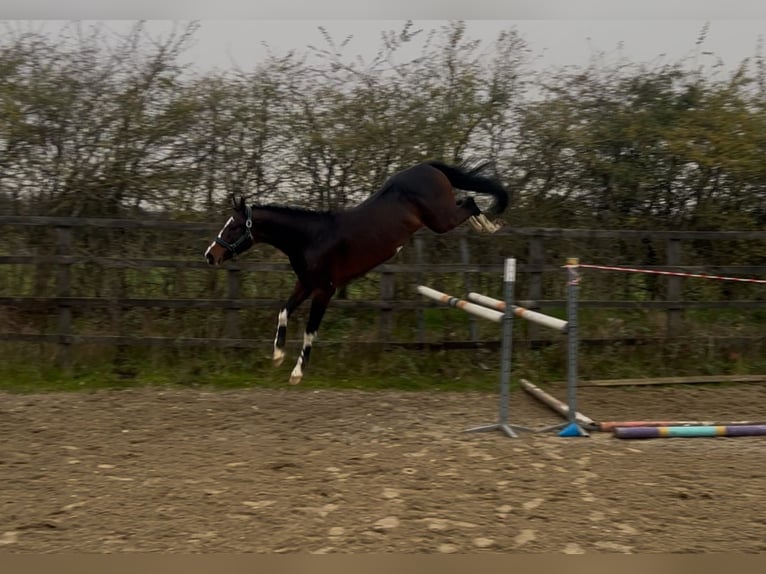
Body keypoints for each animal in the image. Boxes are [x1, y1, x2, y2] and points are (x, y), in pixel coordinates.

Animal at [207, 162, 512, 384]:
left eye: (234, 226)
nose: (210, 255)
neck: (310, 238)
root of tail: (426, 166)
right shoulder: (305, 284)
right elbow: (283, 311)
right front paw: (278, 355)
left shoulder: (324, 290)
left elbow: (310, 331)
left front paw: (297, 373)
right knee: (468, 201)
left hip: (441, 219)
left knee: (470, 202)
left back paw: (488, 226)